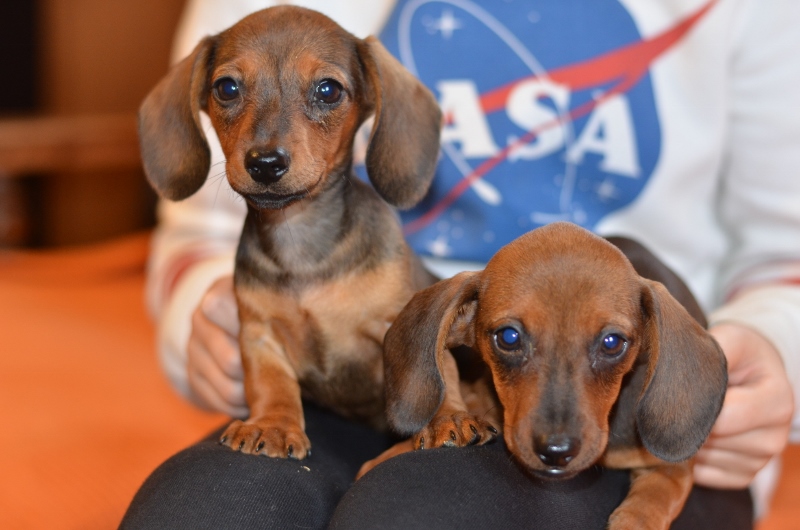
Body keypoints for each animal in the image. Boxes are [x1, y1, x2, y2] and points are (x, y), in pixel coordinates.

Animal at [137, 6, 447, 459]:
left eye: (328, 90)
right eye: (227, 87)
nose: (265, 163)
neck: (300, 242)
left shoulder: (399, 326)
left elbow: (436, 374)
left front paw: (448, 419)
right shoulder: (260, 335)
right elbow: (271, 384)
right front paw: (273, 424)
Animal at [366, 222, 728, 529]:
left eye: (612, 343)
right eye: (508, 337)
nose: (556, 451)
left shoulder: (673, 468)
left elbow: (651, 500)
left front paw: (632, 522)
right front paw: (447, 420)